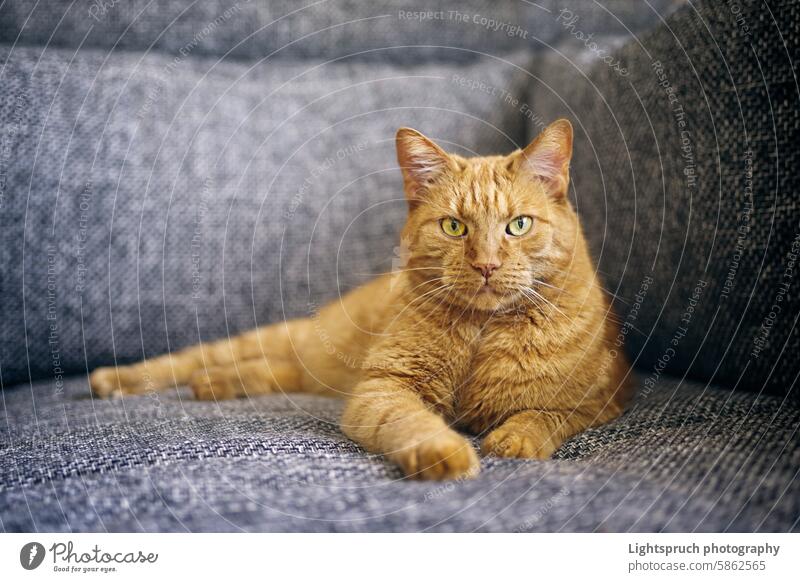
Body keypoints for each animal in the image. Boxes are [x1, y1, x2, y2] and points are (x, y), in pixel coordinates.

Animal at [92, 120, 632, 484]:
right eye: (454, 227)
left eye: (518, 225)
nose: (486, 265)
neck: (481, 333)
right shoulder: (383, 388)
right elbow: (412, 422)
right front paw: (446, 452)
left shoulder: (604, 397)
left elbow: (544, 414)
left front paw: (514, 438)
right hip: (304, 347)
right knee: (210, 356)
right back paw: (115, 381)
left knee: (269, 370)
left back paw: (214, 385)